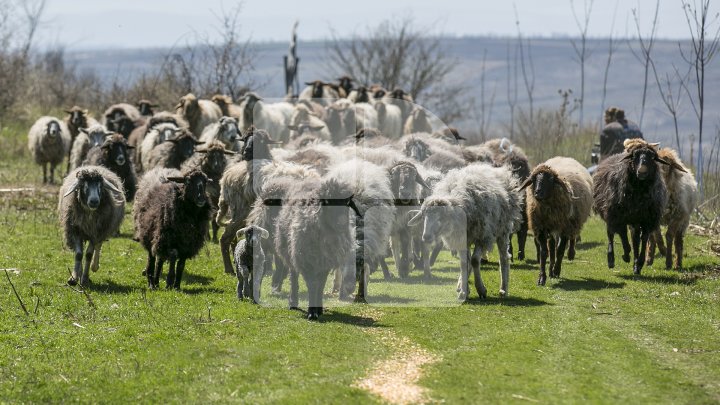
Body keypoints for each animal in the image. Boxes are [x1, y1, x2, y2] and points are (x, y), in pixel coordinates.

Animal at [408, 163, 520, 298]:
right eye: (424, 216)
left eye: (442, 217)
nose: (426, 237)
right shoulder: (461, 238)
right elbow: (464, 263)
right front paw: (464, 291)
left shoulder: (482, 237)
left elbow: (475, 261)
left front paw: (481, 289)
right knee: (467, 261)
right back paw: (461, 284)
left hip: (503, 230)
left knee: (503, 257)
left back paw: (503, 289)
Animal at [520, 156, 592, 286]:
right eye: (533, 179)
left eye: (550, 180)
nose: (538, 192)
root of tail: (564, 157)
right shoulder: (542, 228)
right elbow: (544, 252)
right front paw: (542, 277)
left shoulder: (564, 228)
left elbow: (560, 251)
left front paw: (557, 270)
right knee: (552, 247)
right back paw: (550, 270)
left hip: (573, 221)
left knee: (572, 237)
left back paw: (570, 254)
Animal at [588, 140, 684, 274]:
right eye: (634, 156)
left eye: (652, 157)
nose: (642, 171)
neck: (639, 191)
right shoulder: (618, 215)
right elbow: (623, 235)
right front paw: (625, 256)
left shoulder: (646, 220)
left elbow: (642, 240)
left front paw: (638, 263)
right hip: (612, 213)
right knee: (612, 233)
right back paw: (612, 259)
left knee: (632, 238)